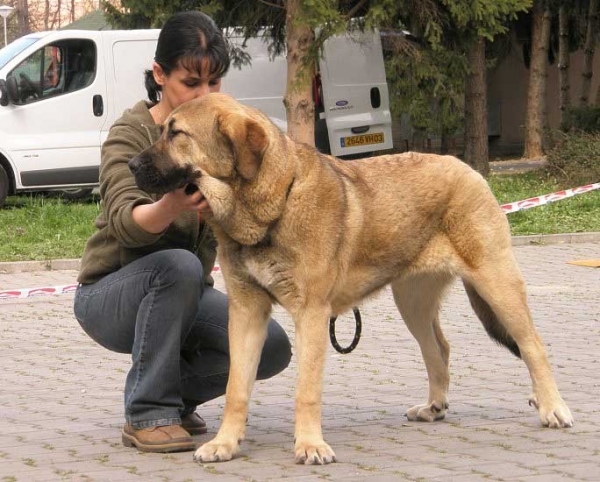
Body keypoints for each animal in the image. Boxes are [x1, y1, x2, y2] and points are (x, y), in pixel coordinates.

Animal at [130, 92, 572, 466]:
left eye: (177, 133)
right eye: (163, 129)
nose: (132, 165)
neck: (270, 206)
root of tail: (468, 169)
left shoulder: (311, 314)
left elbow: (306, 390)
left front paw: (310, 445)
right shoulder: (246, 312)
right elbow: (237, 387)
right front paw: (225, 444)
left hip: (496, 283)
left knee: (532, 345)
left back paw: (552, 407)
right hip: (412, 301)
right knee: (439, 349)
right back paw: (434, 406)